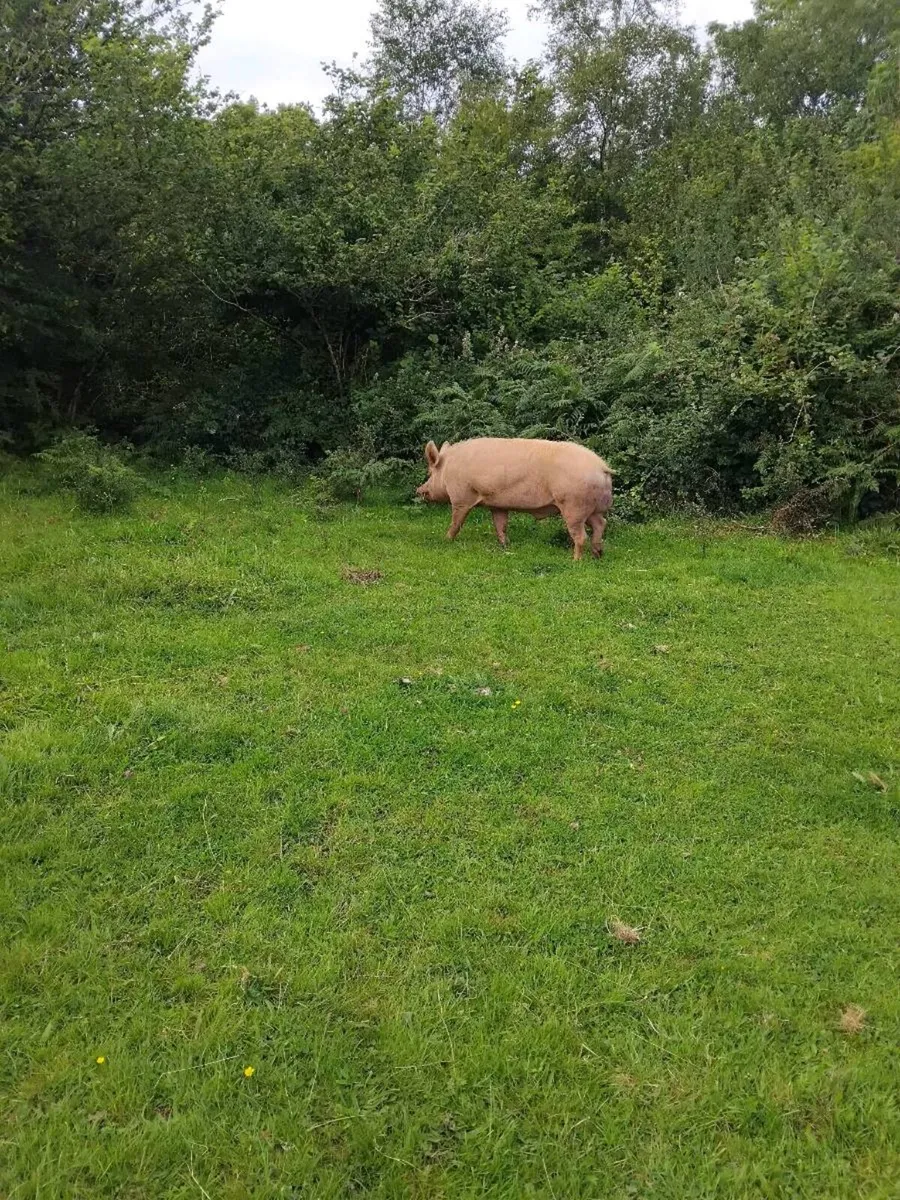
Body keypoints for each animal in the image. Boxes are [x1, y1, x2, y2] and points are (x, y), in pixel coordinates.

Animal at [416, 437, 613, 560]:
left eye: (430, 473)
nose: (419, 490)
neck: (448, 469)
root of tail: (602, 467)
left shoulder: (461, 497)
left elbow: (456, 522)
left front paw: (445, 539)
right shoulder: (497, 505)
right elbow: (500, 525)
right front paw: (505, 545)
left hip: (574, 506)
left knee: (581, 536)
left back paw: (575, 561)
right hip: (593, 508)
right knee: (601, 524)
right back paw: (598, 554)